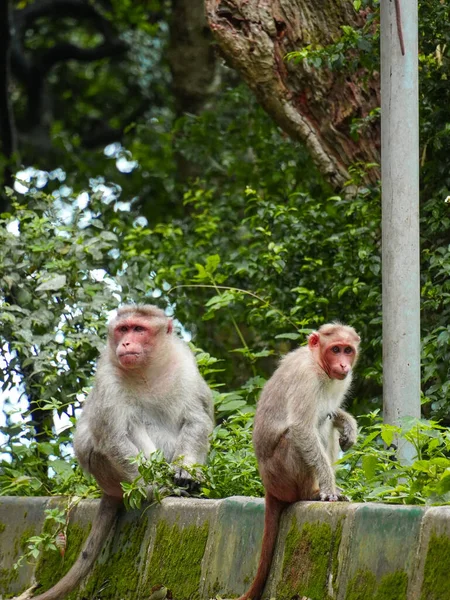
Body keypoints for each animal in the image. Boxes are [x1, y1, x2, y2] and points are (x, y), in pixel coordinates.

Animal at [25, 304, 214, 600]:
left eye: (138, 329)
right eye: (123, 329)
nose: (125, 343)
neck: (146, 370)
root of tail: (107, 488)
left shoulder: (185, 363)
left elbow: (196, 419)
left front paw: (186, 473)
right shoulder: (107, 378)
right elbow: (113, 439)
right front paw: (160, 488)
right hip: (109, 473)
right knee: (127, 425)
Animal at [241, 324, 360, 600]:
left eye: (348, 350)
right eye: (335, 349)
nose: (343, 364)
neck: (318, 363)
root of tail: (269, 487)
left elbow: (334, 414)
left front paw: (348, 424)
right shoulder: (306, 377)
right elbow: (302, 429)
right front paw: (328, 488)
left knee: (327, 420)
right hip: (282, 476)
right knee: (300, 434)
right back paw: (312, 492)